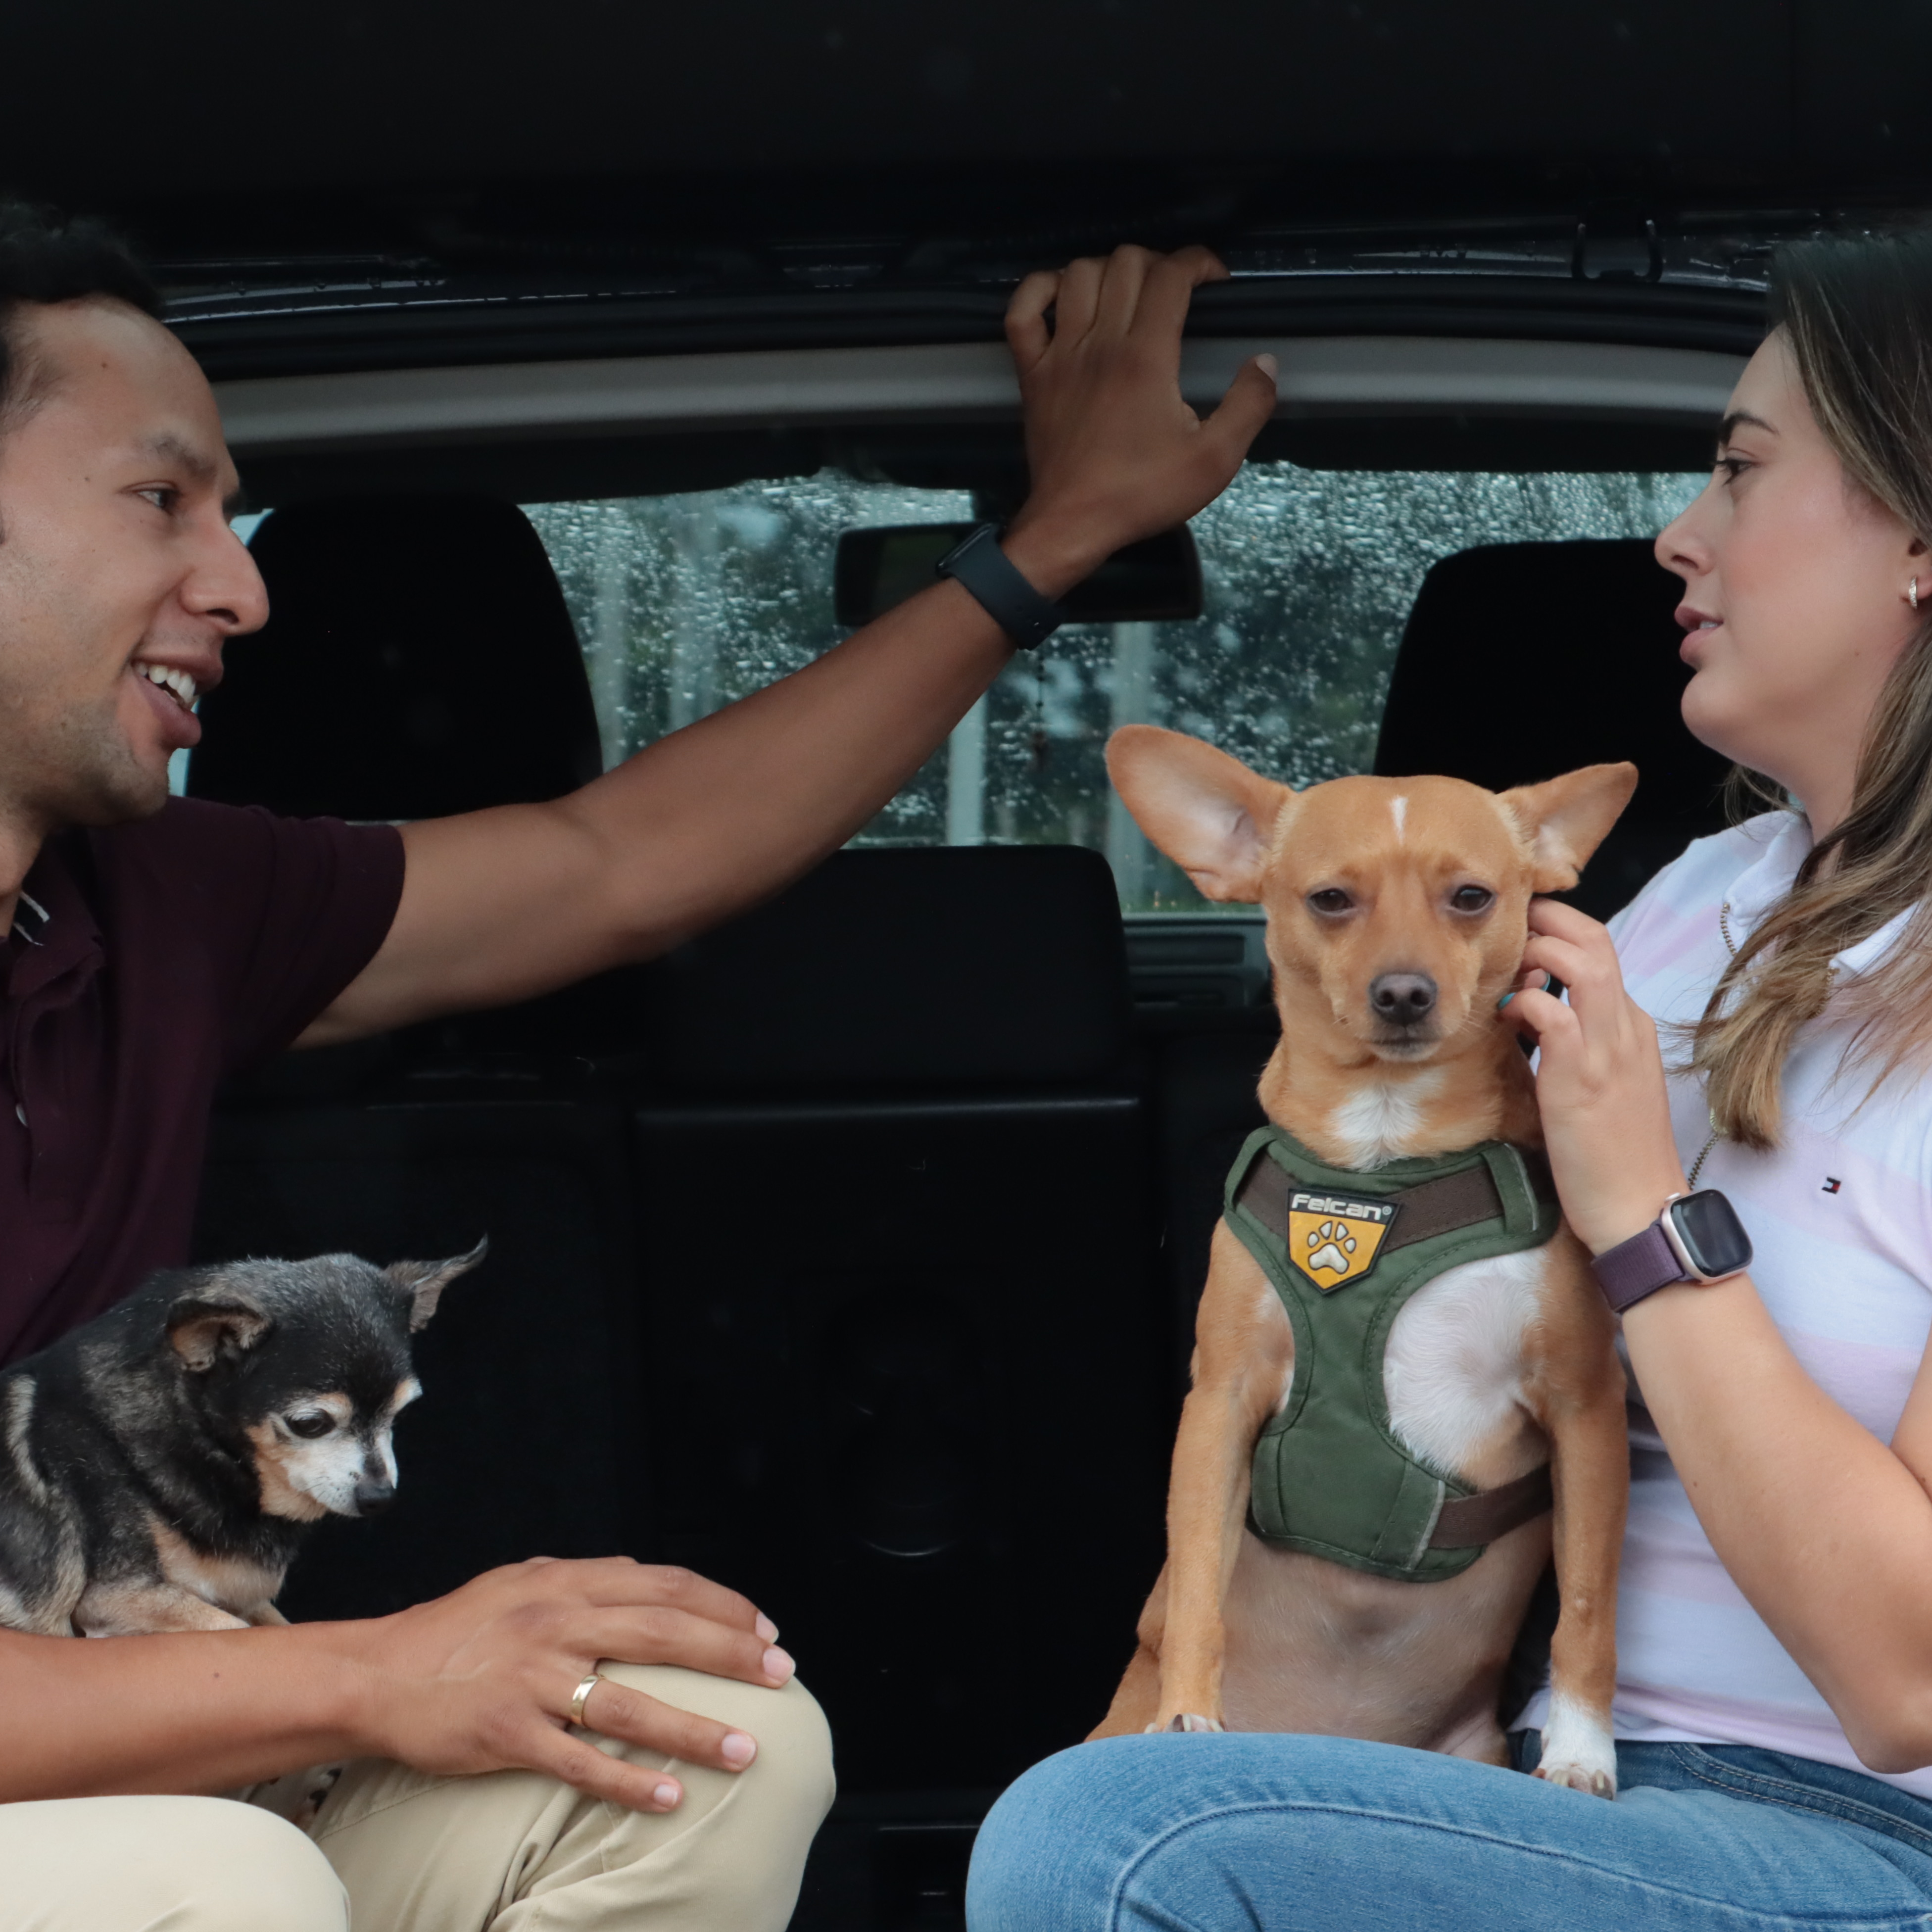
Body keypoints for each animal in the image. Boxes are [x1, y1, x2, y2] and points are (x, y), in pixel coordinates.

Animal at [0, 1242, 485, 1637]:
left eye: (400, 1414)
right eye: (310, 1424)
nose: (380, 1498)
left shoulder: (245, 1600)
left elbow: (278, 1626)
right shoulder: (116, 1598)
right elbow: (233, 1630)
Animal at [1093, 726, 1635, 1796]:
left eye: (1469, 896)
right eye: (1330, 899)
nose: (1402, 991)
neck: (1384, 1163)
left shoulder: (1584, 1413)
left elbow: (1586, 1609)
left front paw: (1578, 1748)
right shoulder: (1220, 1403)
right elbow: (1196, 1575)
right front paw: (1184, 1714)